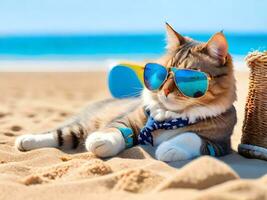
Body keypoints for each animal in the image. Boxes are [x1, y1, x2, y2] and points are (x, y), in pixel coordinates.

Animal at [14, 22, 238, 162]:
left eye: (189, 78)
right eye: (162, 73)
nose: (165, 91)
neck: (171, 117)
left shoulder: (219, 144)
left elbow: (191, 136)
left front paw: (170, 147)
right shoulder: (129, 119)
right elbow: (117, 129)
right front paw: (101, 140)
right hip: (80, 127)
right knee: (58, 134)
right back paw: (25, 141)